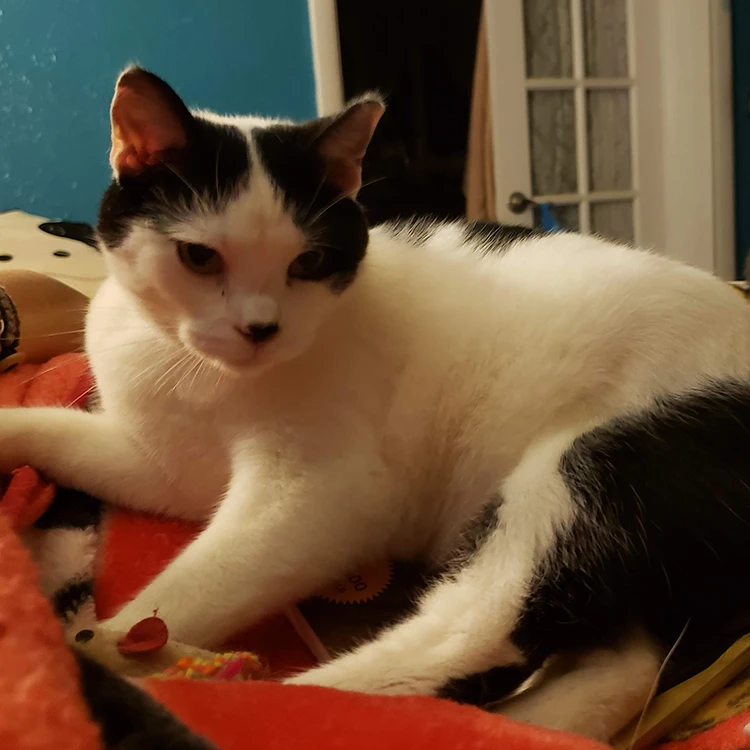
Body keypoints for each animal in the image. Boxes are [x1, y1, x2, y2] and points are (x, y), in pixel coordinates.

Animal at [2, 67, 748, 744]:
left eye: (308, 262)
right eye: (199, 257)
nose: (259, 328)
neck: (194, 375)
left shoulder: (323, 496)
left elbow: (189, 588)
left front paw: (130, 639)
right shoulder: (160, 467)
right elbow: (68, 435)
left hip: (586, 470)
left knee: (459, 638)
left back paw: (162, 676)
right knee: (625, 667)